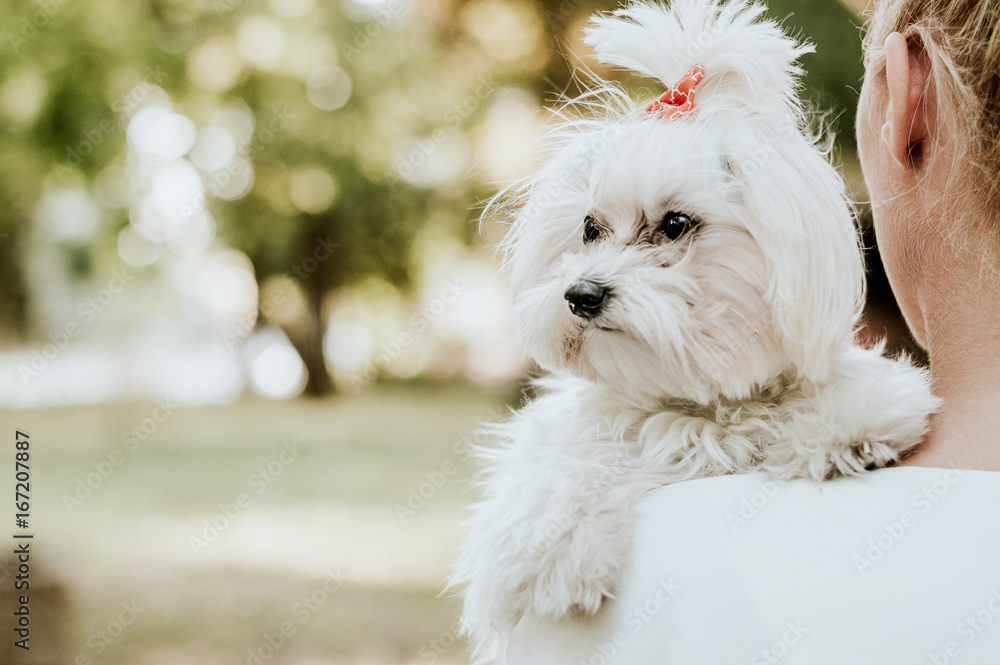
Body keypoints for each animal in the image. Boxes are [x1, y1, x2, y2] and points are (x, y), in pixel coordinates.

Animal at [452, 1, 936, 660]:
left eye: (676, 224)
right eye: (589, 228)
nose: (580, 295)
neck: (703, 404)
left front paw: (849, 426)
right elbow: (567, 465)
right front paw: (558, 546)